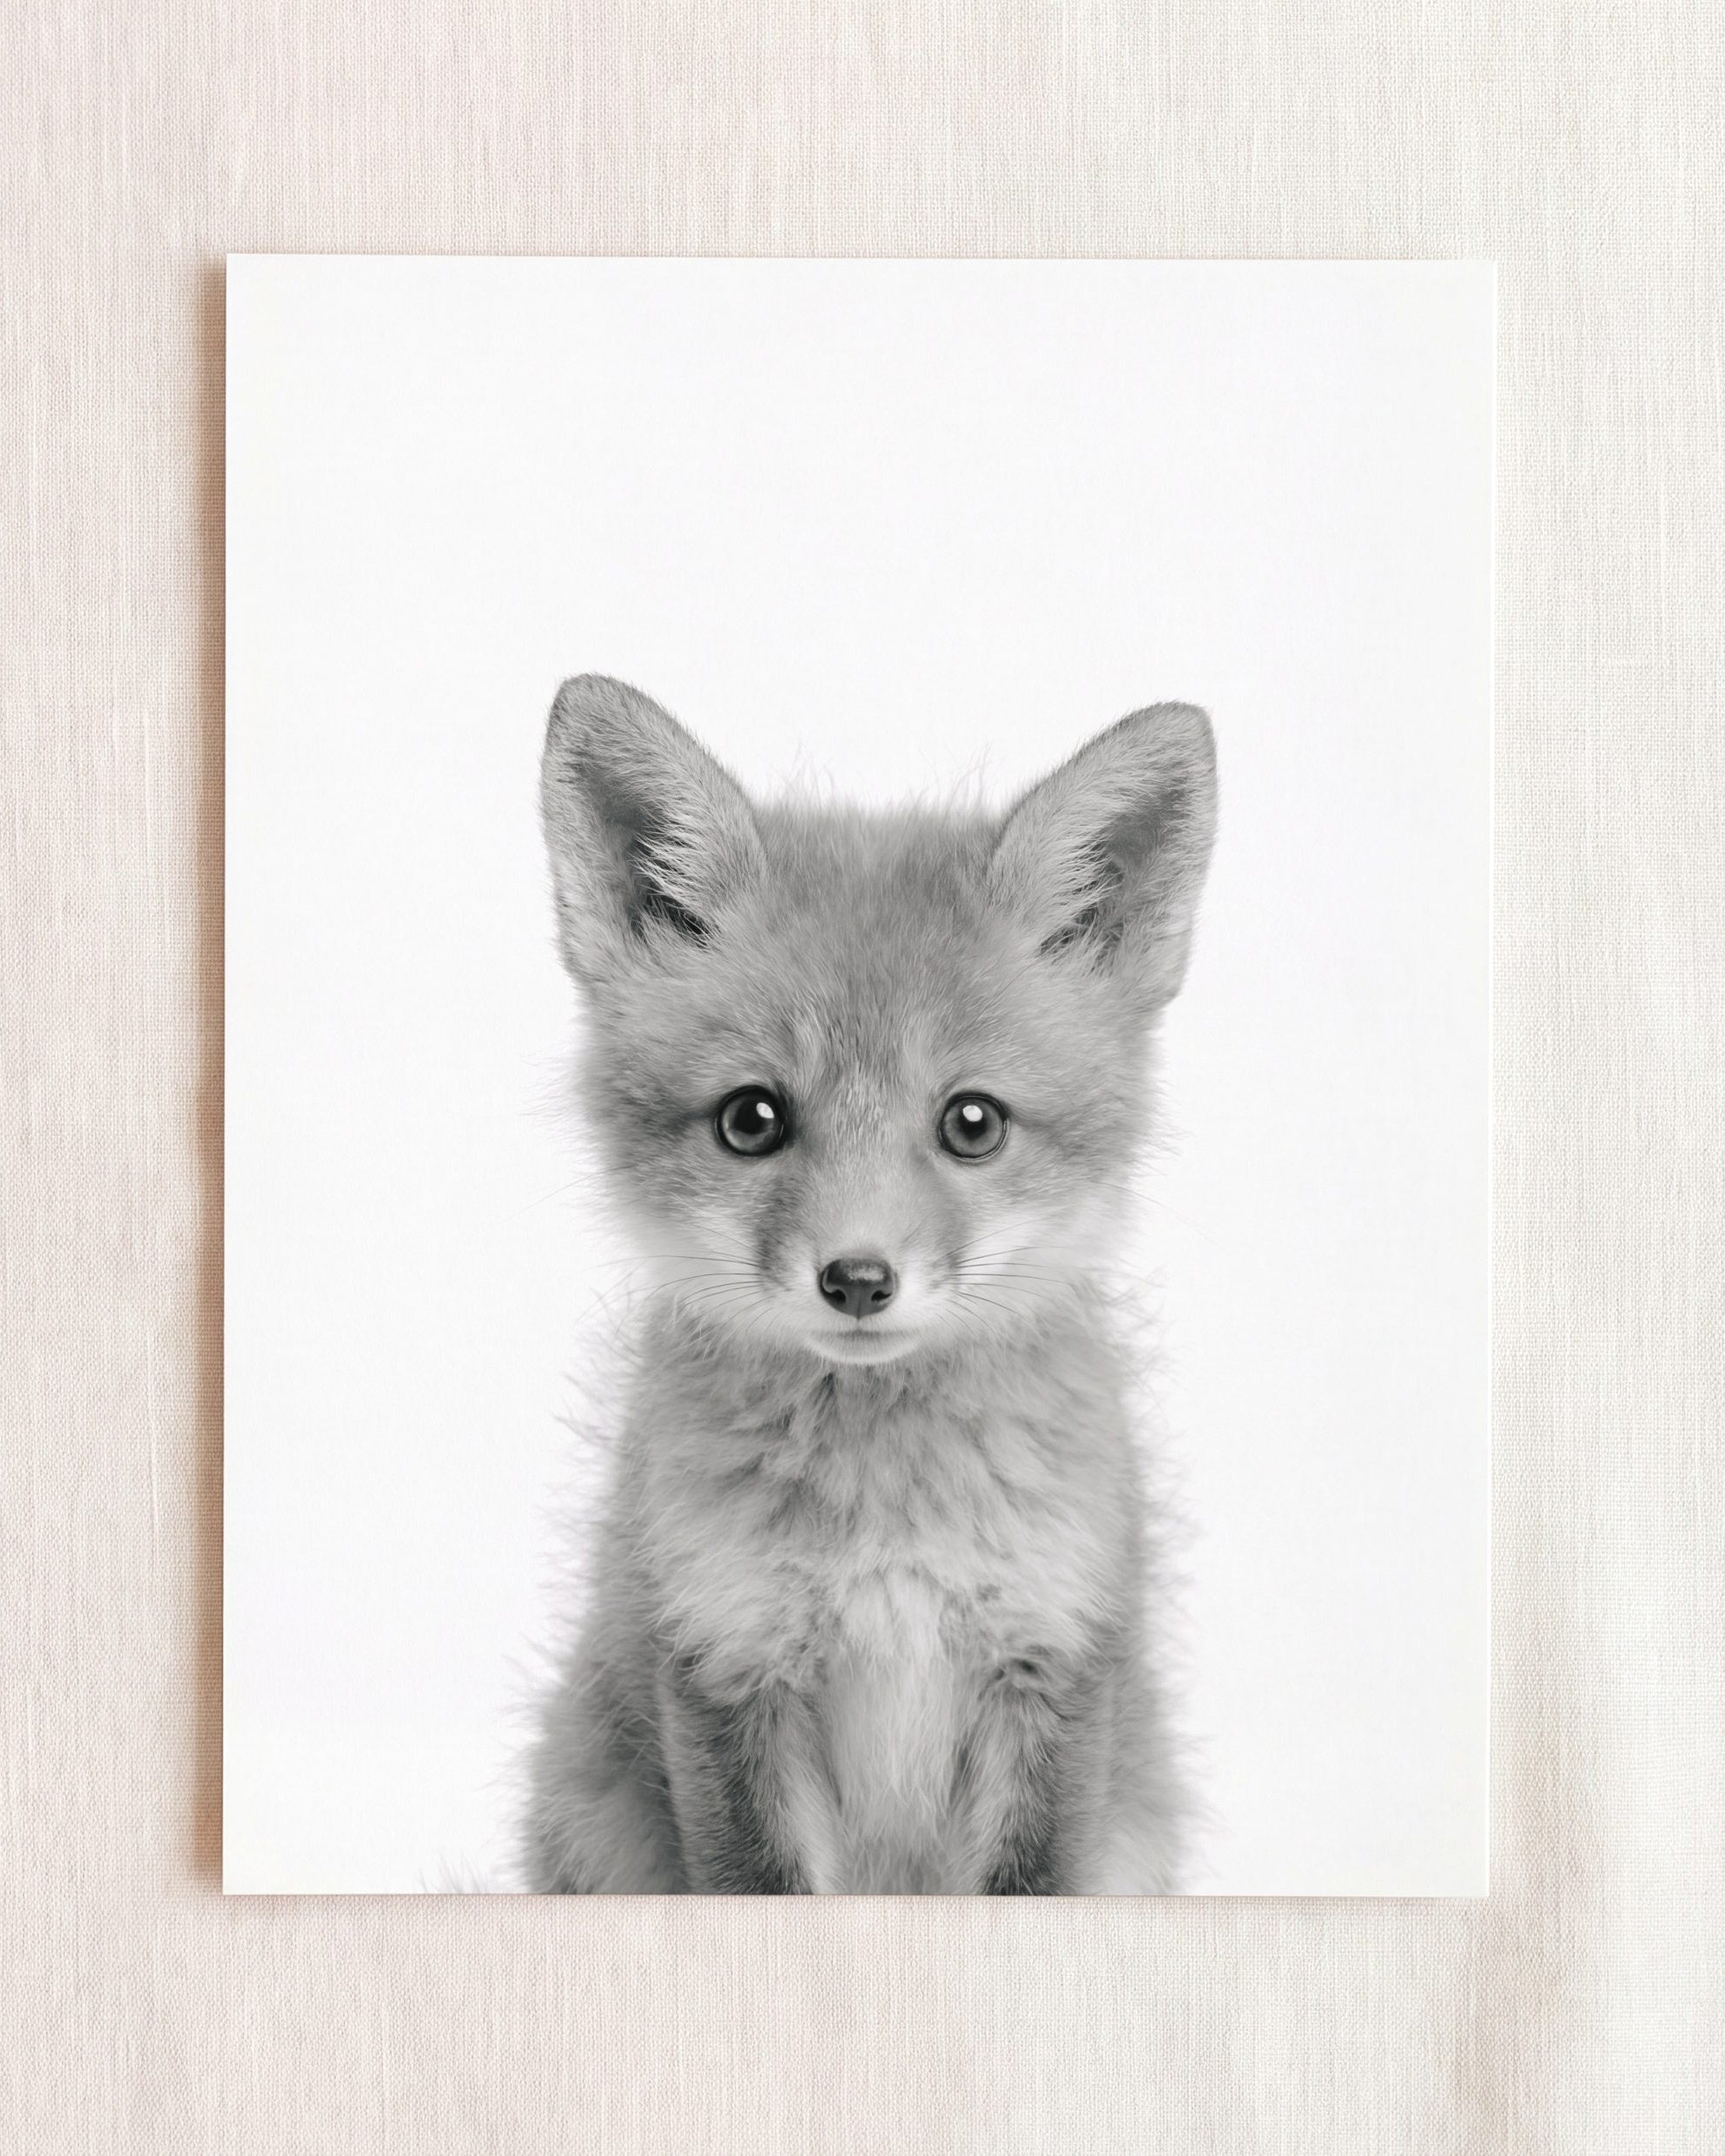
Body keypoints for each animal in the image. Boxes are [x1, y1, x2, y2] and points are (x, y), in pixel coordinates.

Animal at [522, 674, 1217, 1894]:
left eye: (972, 1122)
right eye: (752, 1118)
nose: (856, 1278)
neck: (888, 1525)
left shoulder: (1053, 1661)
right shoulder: (726, 1661)